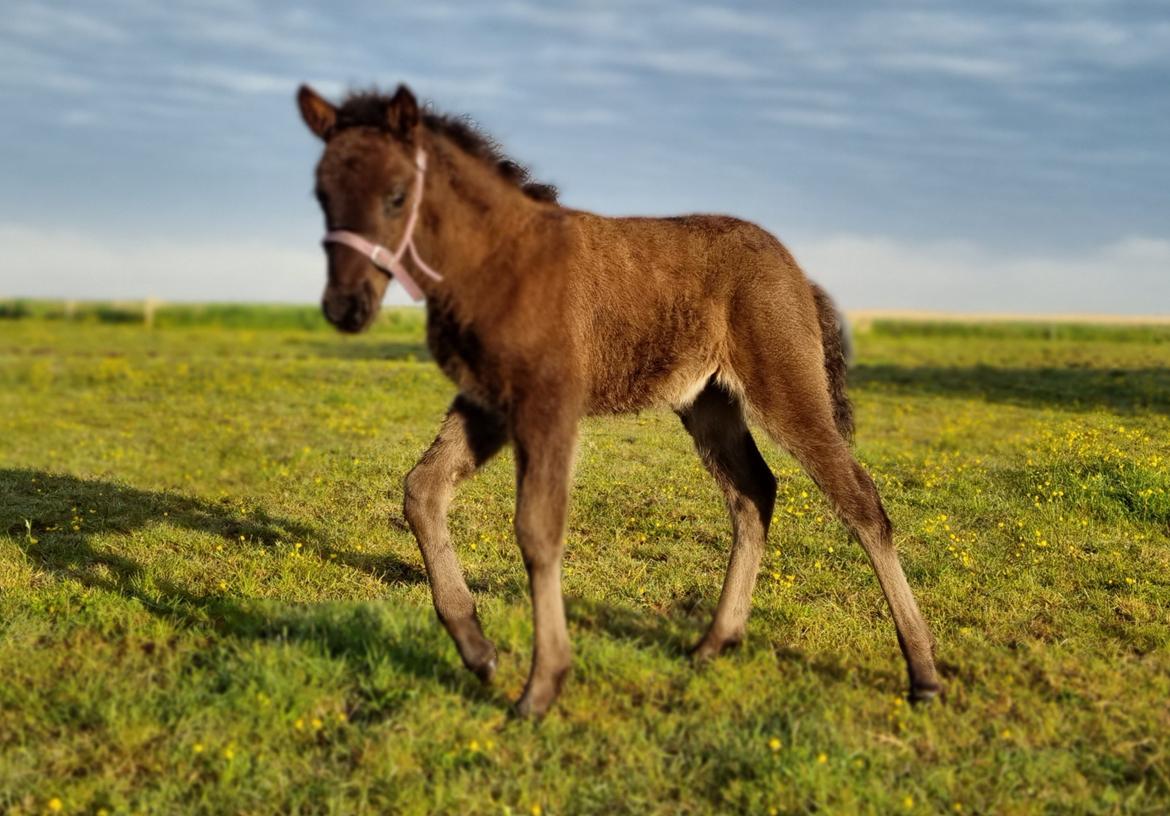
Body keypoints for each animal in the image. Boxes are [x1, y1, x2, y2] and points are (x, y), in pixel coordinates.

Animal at [294, 86, 940, 716]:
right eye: (320, 195)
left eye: (396, 195)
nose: (344, 307)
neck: (495, 263)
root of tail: (799, 274)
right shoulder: (487, 401)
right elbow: (422, 491)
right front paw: (477, 650)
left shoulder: (547, 405)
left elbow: (537, 528)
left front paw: (542, 687)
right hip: (708, 403)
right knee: (753, 493)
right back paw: (715, 641)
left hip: (784, 386)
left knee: (859, 500)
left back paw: (923, 674)